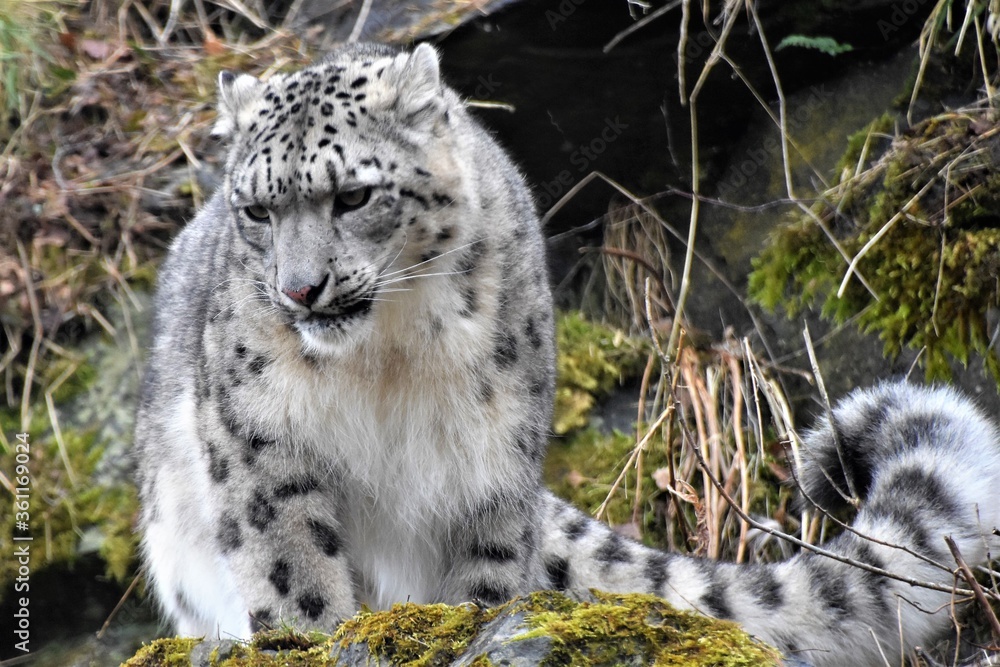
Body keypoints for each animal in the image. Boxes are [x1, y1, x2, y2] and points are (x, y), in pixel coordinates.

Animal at [134, 41, 1000, 667]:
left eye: (353, 195)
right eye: (256, 210)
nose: (300, 289)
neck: (383, 362)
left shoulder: (486, 453)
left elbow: (481, 578)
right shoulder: (261, 437)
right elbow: (293, 565)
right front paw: (310, 635)